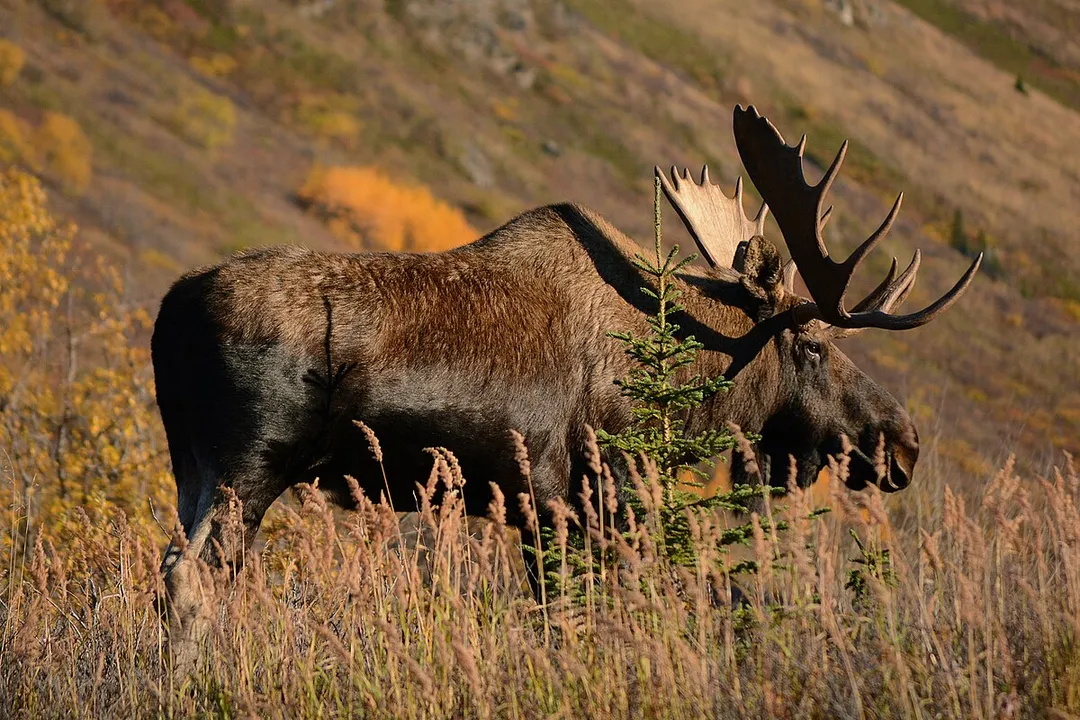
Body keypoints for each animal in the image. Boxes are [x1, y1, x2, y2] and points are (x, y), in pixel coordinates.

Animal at [152, 105, 981, 646]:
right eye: (811, 344)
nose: (902, 443)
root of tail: (170, 312)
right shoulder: (573, 497)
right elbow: (569, 619)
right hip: (251, 463)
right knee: (191, 580)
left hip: (191, 463)